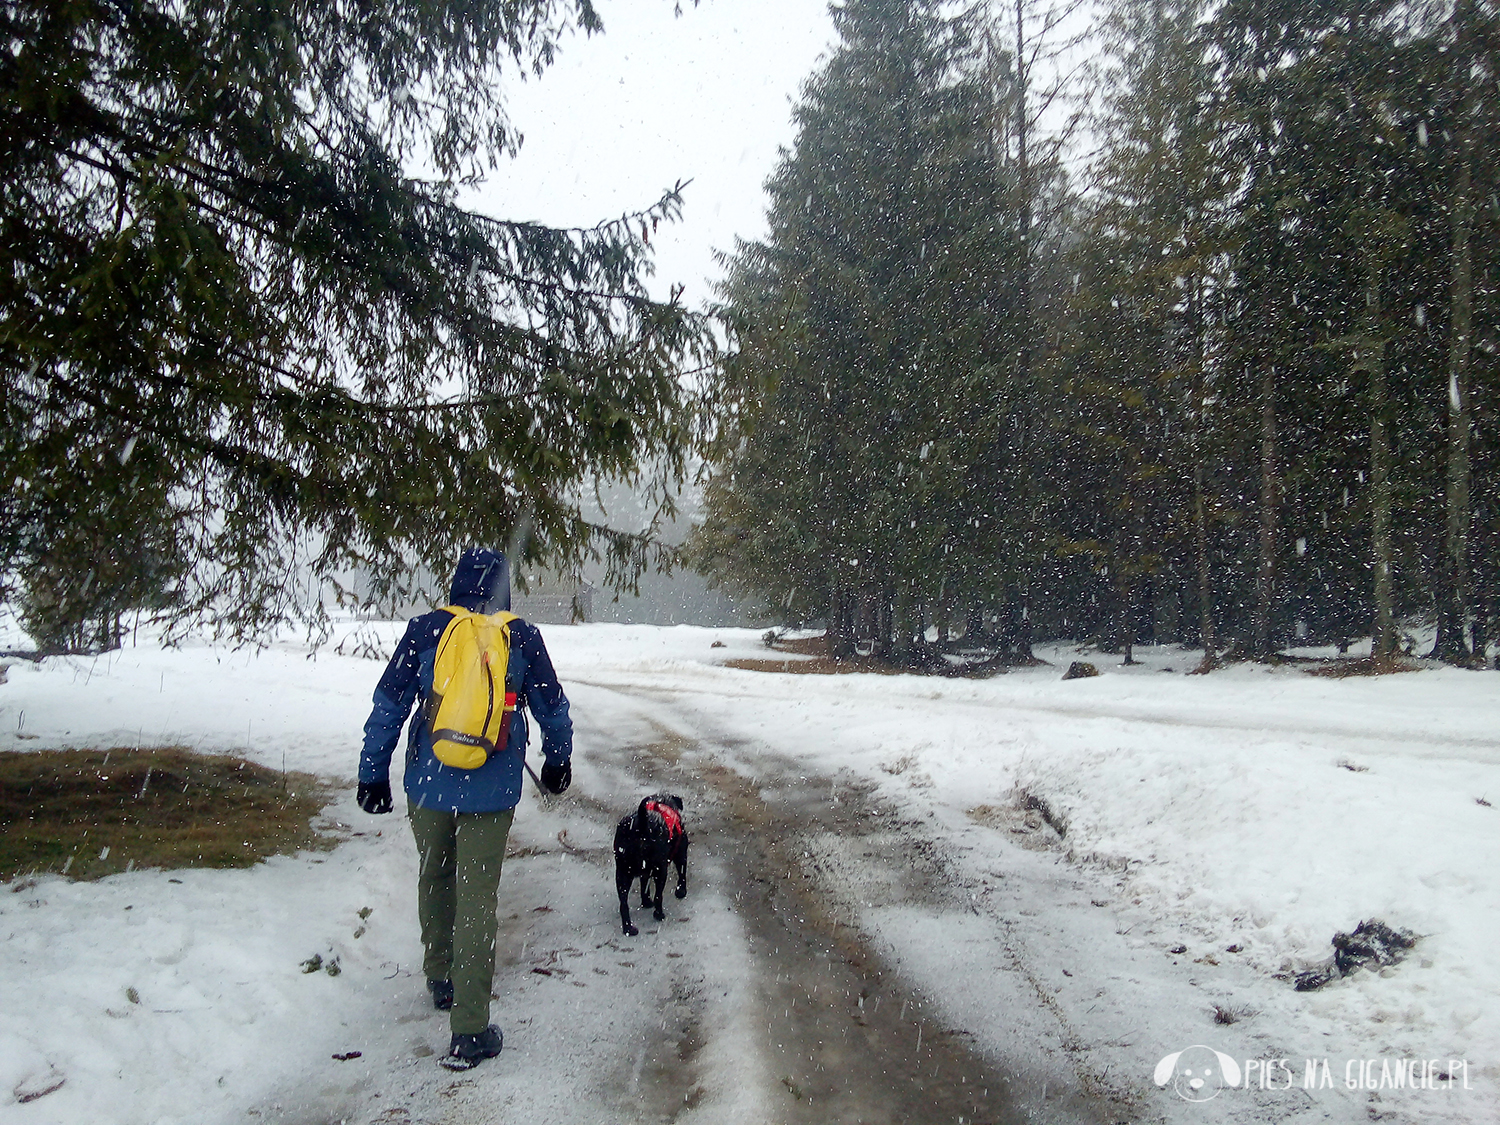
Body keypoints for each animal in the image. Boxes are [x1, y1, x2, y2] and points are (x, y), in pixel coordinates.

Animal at [612, 798, 687, 936]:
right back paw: (659, 914)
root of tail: (640, 825)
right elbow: (682, 873)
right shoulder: (681, 853)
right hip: (661, 870)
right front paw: (681, 892)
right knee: (658, 895)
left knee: (623, 904)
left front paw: (646, 902)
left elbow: (644, 885)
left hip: (622, 874)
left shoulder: (645, 871)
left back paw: (628, 928)